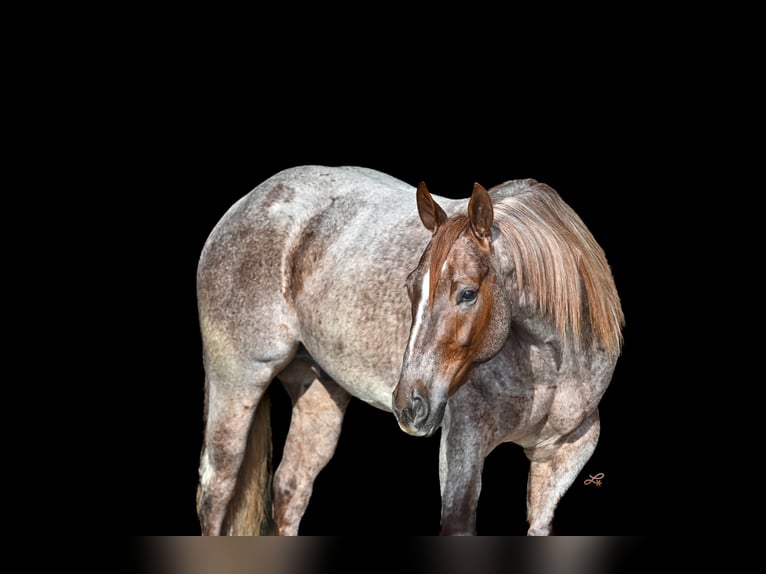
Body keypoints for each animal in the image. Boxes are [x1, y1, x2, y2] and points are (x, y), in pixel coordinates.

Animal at [195, 165, 624, 535]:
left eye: (467, 293)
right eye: (410, 287)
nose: (408, 404)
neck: (551, 366)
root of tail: (248, 202)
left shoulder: (564, 456)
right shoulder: (463, 444)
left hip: (318, 392)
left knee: (289, 488)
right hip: (238, 382)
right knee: (217, 490)